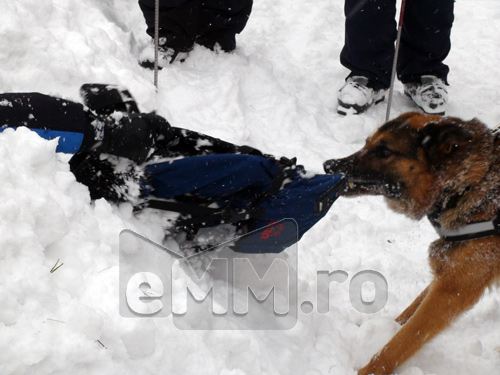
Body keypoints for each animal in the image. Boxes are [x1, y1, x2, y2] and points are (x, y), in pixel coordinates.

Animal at [322, 112, 500, 375]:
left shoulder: (453, 289)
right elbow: (409, 312)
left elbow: (402, 341)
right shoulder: (449, 273)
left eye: (384, 151)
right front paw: (385, 327)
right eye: (367, 143)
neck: (469, 184)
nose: (329, 165)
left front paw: (366, 370)